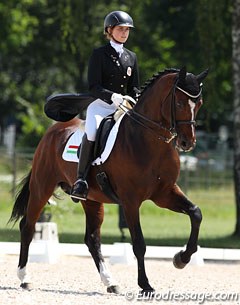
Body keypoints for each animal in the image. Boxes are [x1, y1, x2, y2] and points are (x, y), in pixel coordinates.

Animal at [9, 66, 208, 294]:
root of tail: (52, 130)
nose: (187, 142)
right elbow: (139, 243)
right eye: (179, 103)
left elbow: (196, 213)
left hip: (92, 200)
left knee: (92, 239)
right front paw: (145, 284)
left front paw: (181, 258)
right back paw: (24, 277)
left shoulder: (164, 193)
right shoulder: (131, 201)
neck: (149, 140)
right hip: (42, 187)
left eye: (199, 103)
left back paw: (110, 281)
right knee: (28, 226)